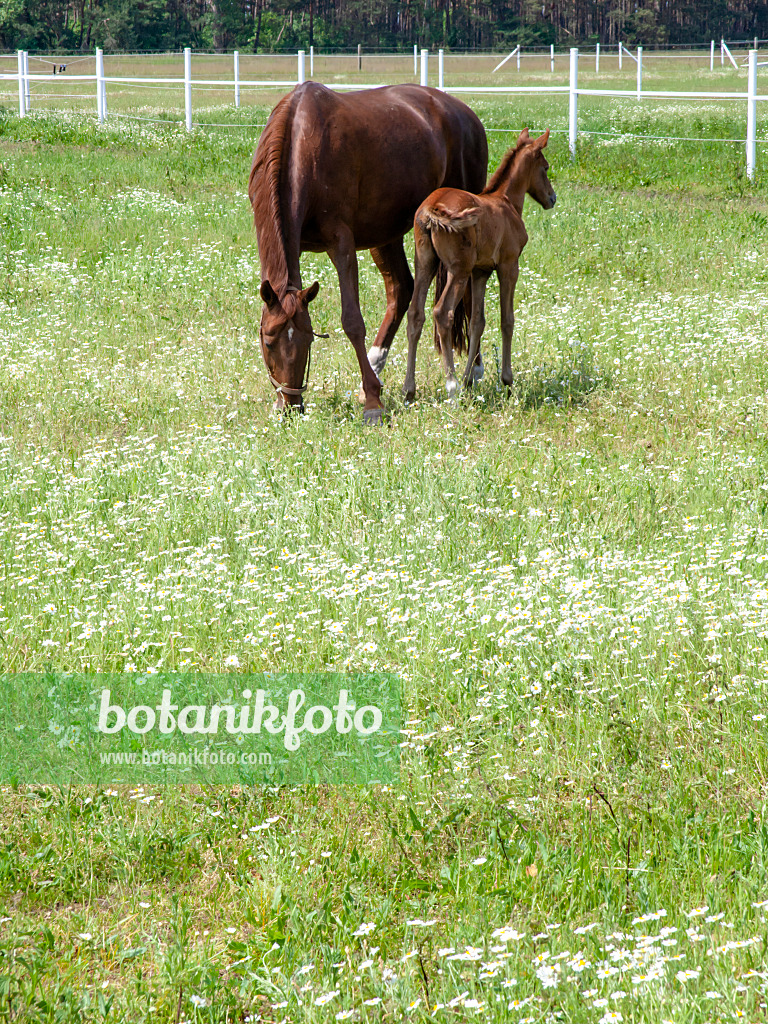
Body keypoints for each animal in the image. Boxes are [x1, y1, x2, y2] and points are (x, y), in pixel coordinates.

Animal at [250, 79, 487, 423]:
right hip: (385, 236)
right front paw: (371, 390)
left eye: (308, 339)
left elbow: (352, 320)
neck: (302, 142)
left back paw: (474, 371)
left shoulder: (342, 244)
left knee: (466, 294)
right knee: (402, 290)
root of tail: (467, 116)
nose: (291, 407)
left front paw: (373, 404)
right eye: (268, 342)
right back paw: (375, 368)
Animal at [403, 125, 561, 401]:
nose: (551, 198)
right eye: (546, 167)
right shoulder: (509, 266)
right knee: (442, 312)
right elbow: (507, 320)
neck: (506, 202)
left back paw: (409, 390)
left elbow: (477, 322)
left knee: (415, 314)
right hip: (458, 270)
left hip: (426, 263)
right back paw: (451, 385)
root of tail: (431, 208)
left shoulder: (480, 272)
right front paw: (506, 380)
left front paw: (469, 379)